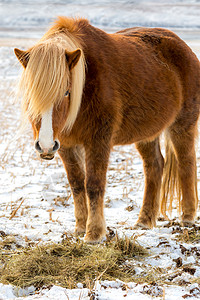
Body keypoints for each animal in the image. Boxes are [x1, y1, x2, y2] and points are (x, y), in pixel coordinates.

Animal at [14, 16, 200, 243]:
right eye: (30, 94)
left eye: (66, 92)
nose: (46, 145)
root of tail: (184, 47)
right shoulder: (66, 145)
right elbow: (77, 184)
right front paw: (79, 228)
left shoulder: (98, 140)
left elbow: (94, 185)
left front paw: (94, 233)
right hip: (147, 134)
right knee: (154, 166)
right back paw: (144, 221)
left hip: (182, 125)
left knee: (186, 163)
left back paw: (187, 218)